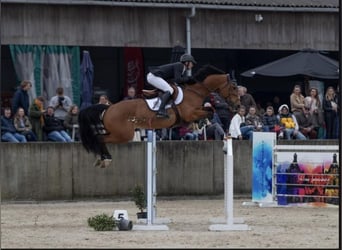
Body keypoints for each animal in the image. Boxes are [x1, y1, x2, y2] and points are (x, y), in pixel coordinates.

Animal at [78, 64, 239, 168]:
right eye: (234, 87)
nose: (237, 106)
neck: (195, 92)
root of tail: (109, 107)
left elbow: (210, 109)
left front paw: (202, 123)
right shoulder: (189, 113)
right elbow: (211, 111)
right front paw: (201, 123)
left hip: (117, 132)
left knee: (99, 137)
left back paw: (102, 159)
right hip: (124, 134)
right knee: (100, 138)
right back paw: (105, 159)